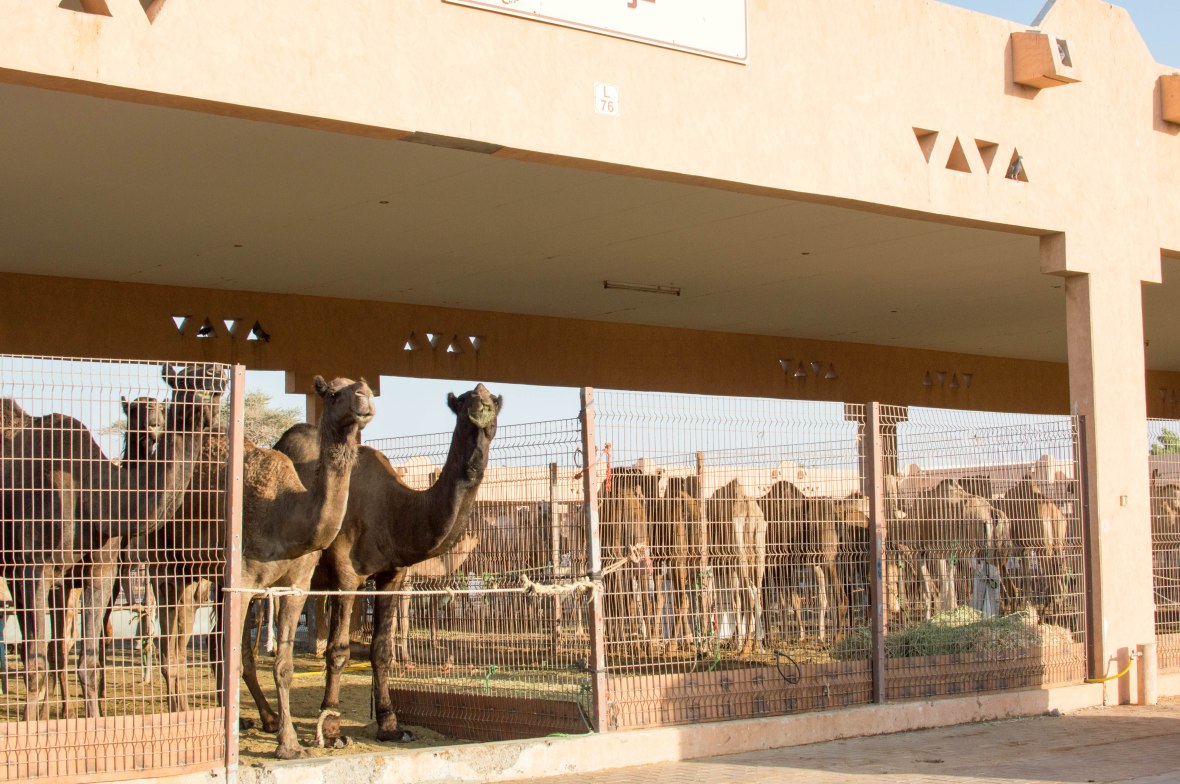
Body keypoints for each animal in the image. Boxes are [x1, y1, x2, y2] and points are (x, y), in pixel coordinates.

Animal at [0, 363, 222, 720]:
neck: (92, 493)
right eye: (185, 380)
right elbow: (35, 665)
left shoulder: (101, 571)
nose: (214, 383)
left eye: (220, 383)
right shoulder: (33, 568)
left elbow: (88, 663)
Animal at [272, 382, 501, 747]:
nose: (481, 408)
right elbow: (338, 651)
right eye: (464, 401)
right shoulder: (346, 574)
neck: (394, 508)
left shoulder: (391, 575)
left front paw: (390, 724)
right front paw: (333, 729)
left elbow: (381, 650)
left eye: (493, 400)